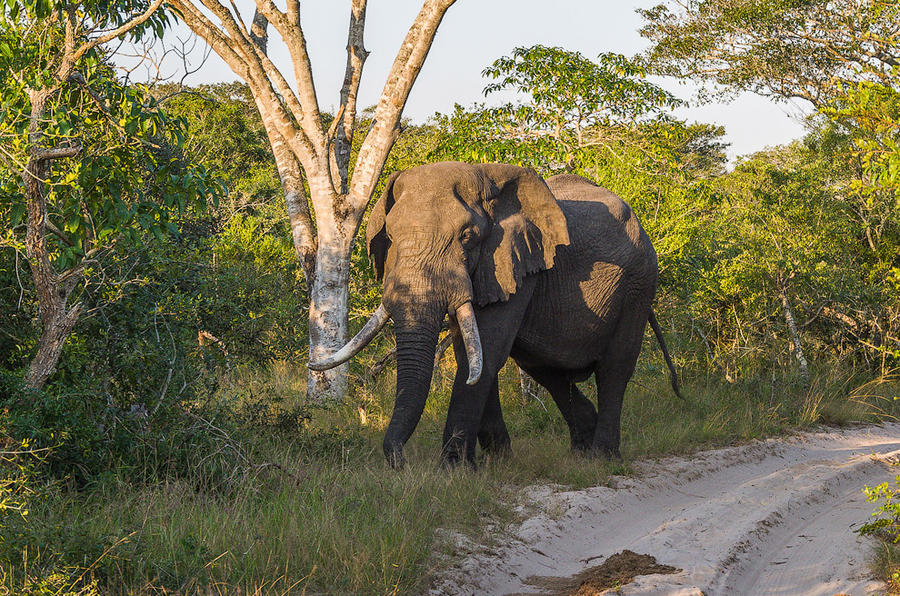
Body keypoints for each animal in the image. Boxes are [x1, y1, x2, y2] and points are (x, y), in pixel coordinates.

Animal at [312, 161, 684, 468]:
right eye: (389, 235)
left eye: (467, 237)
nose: (400, 462)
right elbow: (472, 350)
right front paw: (497, 462)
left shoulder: (516, 262)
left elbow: (483, 353)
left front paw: (455, 470)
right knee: (547, 371)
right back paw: (580, 449)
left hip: (639, 284)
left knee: (614, 369)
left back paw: (601, 458)